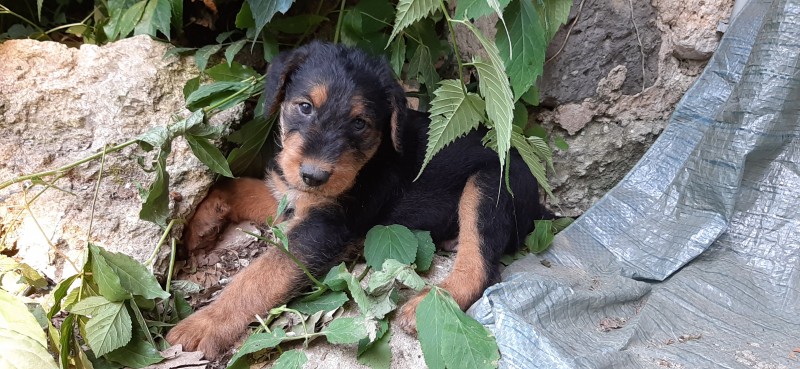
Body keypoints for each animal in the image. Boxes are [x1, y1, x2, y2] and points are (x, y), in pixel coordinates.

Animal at [164, 41, 552, 358]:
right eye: (304, 107)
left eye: (360, 123)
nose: (314, 176)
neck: (370, 160)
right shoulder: (295, 197)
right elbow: (241, 187)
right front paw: (201, 223)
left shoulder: (322, 228)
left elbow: (257, 277)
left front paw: (205, 324)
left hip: (487, 185)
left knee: (482, 266)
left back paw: (429, 304)